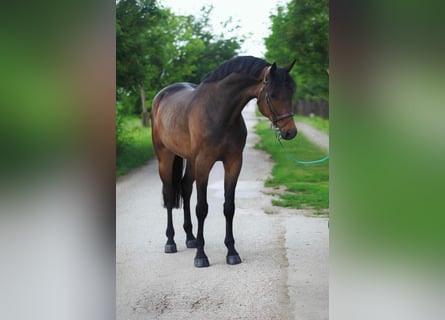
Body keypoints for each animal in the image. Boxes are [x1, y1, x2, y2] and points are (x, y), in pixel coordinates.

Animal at [151, 55, 296, 268]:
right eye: (274, 94)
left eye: (291, 92)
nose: (290, 132)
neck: (219, 113)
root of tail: (160, 97)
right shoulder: (204, 163)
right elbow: (202, 208)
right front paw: (201, 256)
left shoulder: (233, 163)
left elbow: (229, 207)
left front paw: (232, 252)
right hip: (166, 158)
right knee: (170, 195)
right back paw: (170, 242)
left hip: (191, 161)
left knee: (185, 188)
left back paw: (190, 238)